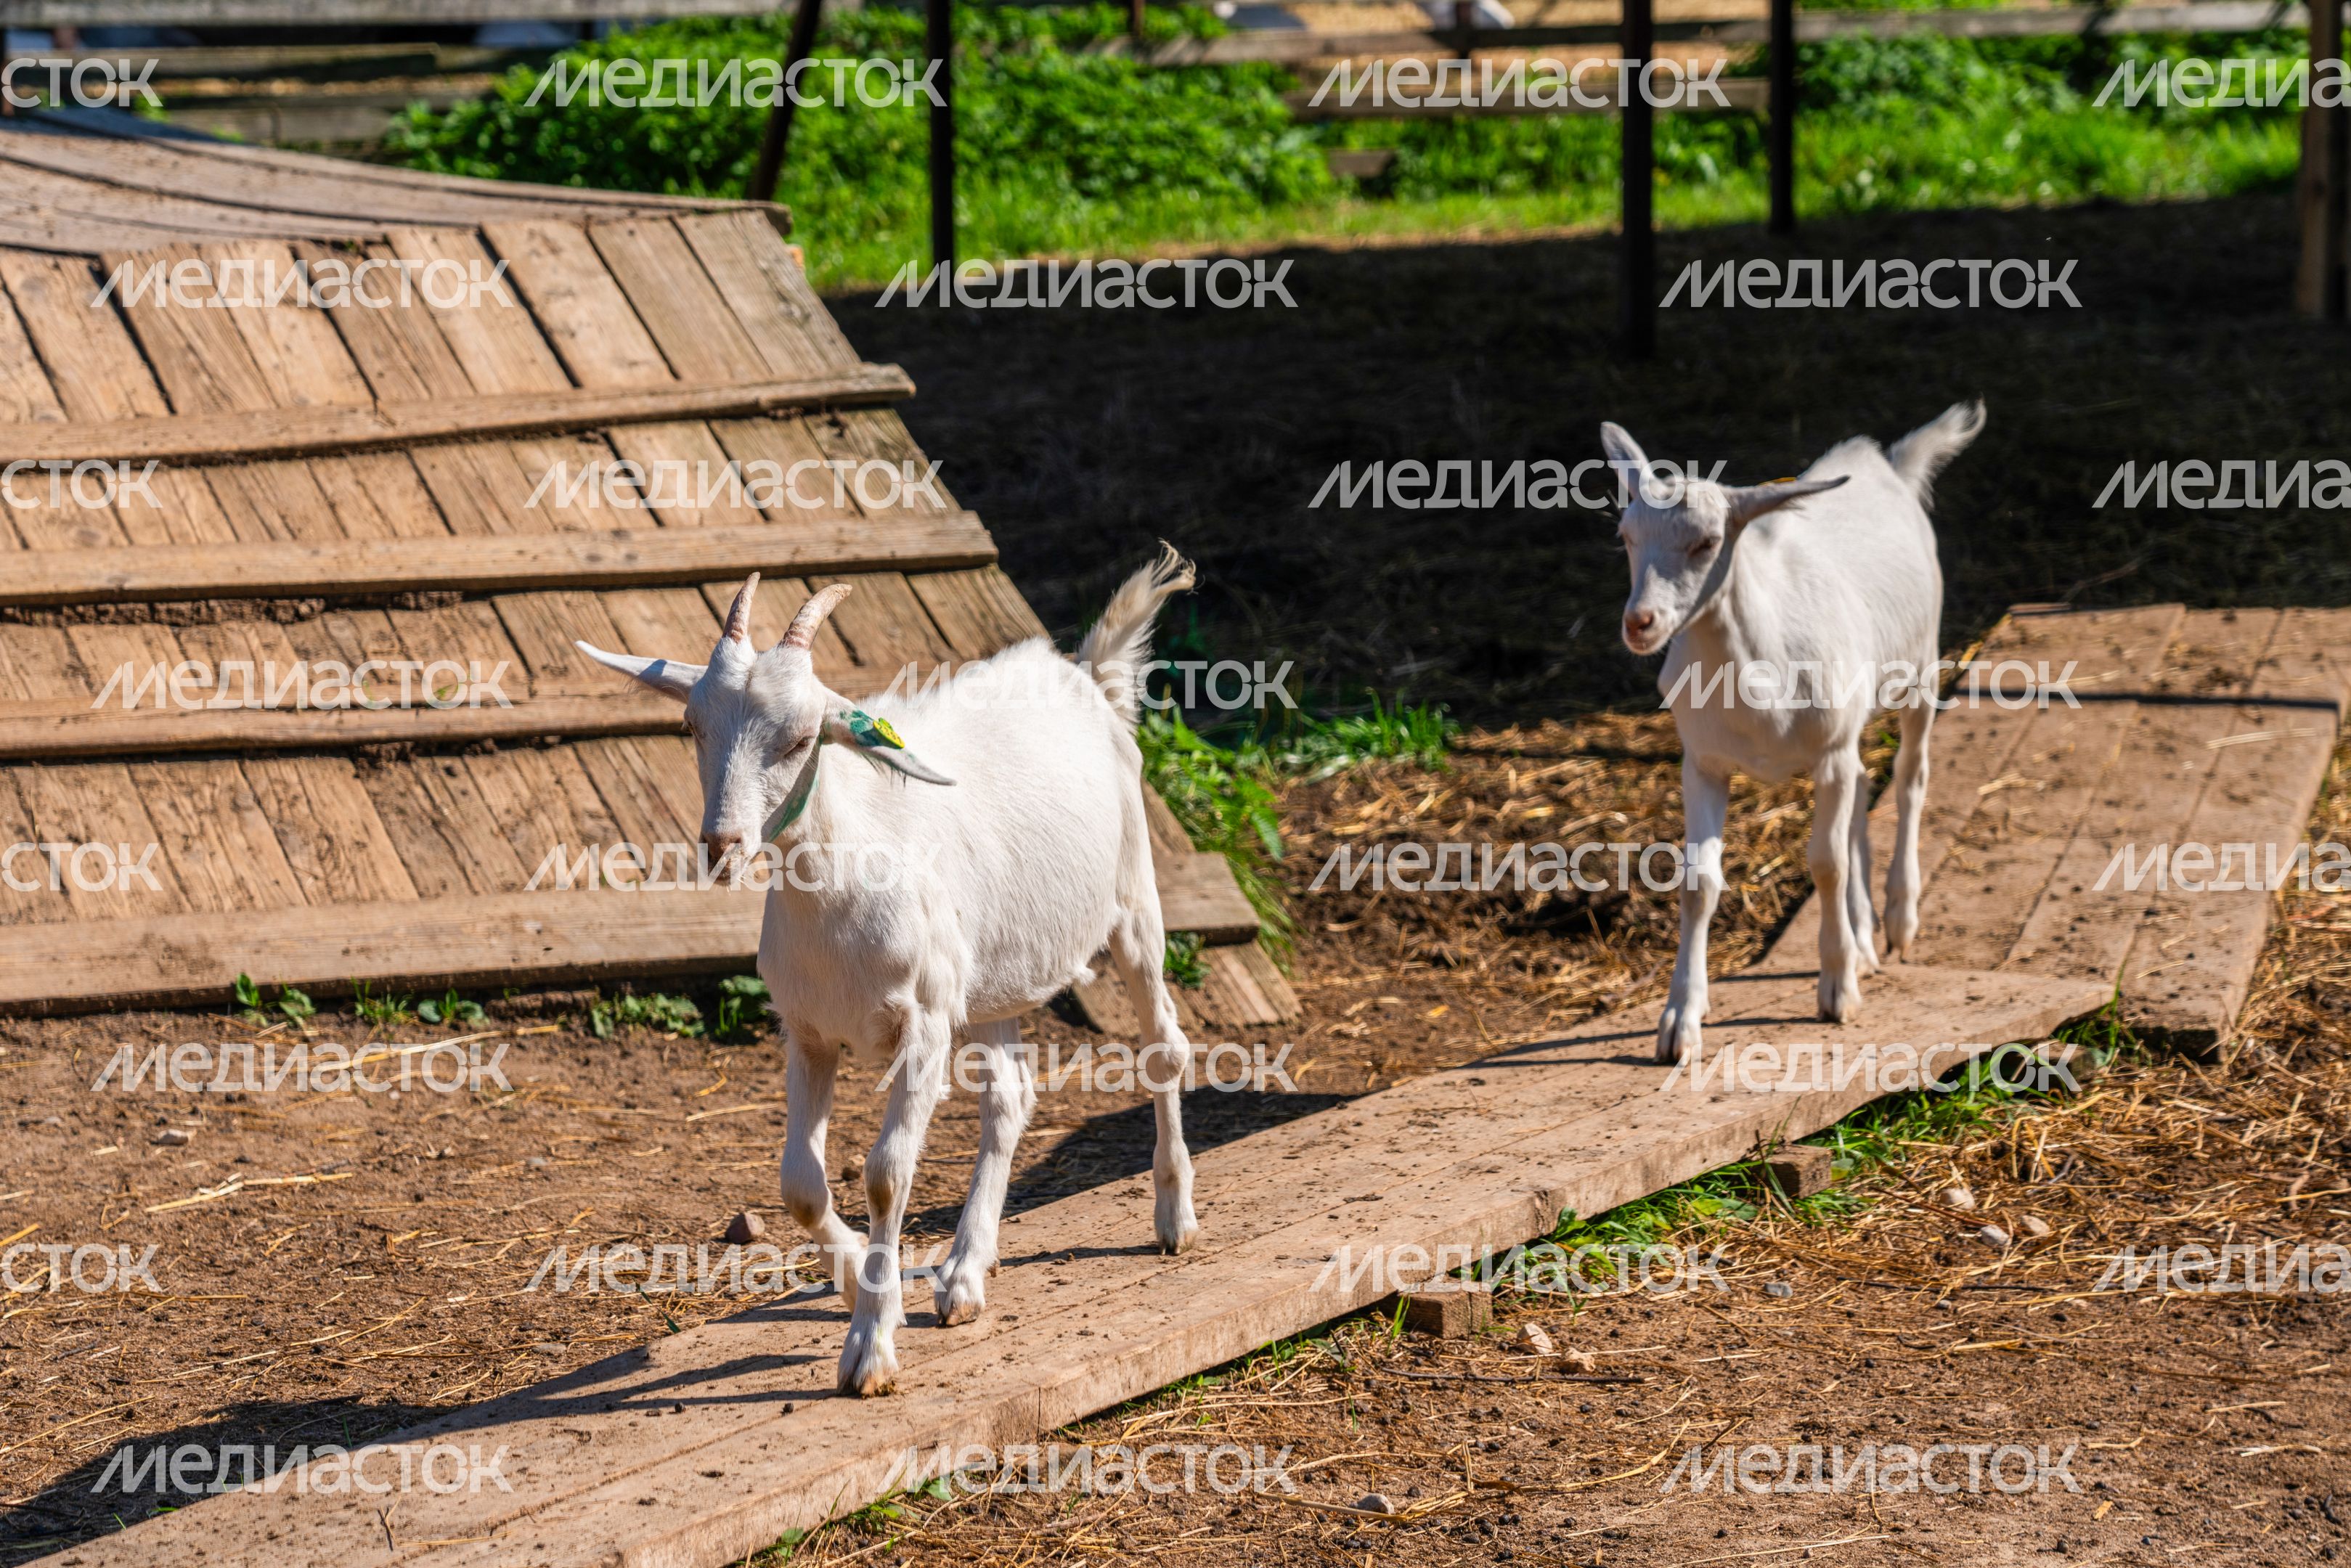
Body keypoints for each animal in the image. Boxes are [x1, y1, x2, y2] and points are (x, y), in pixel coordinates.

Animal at [576, 547, 1203, 1395]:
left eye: (801, 737)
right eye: (690, 724)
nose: (722, 846)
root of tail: (1087, 675)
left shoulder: (923, 1026)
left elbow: (885, 1171)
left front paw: (869, 1347)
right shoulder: (808, 1032)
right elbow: (799, 1185)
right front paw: (858, 1286)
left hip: (1133, 900)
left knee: (1164, 1046)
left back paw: (1172, 1218)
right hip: (989, 980)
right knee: (1011, 1099)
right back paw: (965, 1275)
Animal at [1607, 402, 1985, 1064]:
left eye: (1708, 542)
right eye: (1626, 537)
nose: (1640, 623)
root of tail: (1885, 463)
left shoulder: (1829, 748)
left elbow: (1826, 864)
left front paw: (1837, 990)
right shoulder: (1702, 761)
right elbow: (1698, 884)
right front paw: (1680, 1022)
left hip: (1919, 668)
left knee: (1910, 778)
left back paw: (1898, 918)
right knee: (1862, 791)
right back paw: (1865, 939)